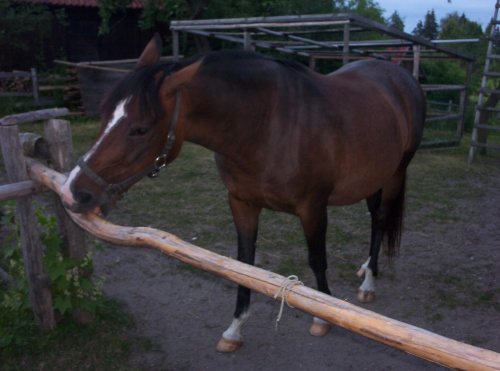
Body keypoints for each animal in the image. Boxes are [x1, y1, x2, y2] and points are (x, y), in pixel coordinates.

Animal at [59, 33, 426, 354]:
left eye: (140, 129)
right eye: (104, 112)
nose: (73, 193)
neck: (269, 125)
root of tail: (400, 77)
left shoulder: (312, 207)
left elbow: (317, 261)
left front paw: (323, 316)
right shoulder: (242, 203)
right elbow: (244, 264)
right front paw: (234, 329)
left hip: (396, 173)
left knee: (381, 220)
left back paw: (368, 285)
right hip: (374, 177)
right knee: (374, 218)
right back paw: (366, 269)